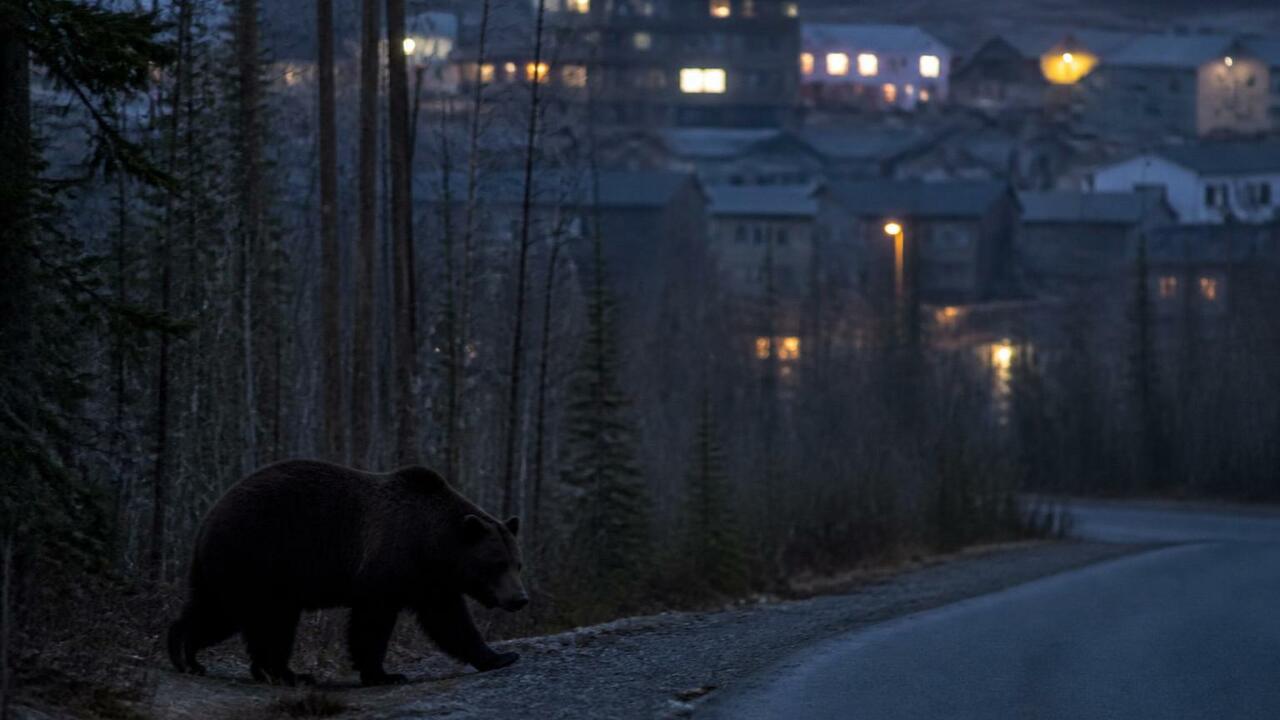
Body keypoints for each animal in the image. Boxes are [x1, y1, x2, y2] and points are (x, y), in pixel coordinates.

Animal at [166, 459, 528, 686]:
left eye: (518, 563)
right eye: (497, 563)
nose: (520, 598)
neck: (432, 544)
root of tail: (208, 518)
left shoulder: (430, 581)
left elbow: (451, 623)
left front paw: (500, 656)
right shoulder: (388, 564)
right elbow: (372, 624)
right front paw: (383, 674)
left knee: (250, 618)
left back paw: (280, 672)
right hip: (256, 555)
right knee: (234, 614)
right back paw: (189, 656)